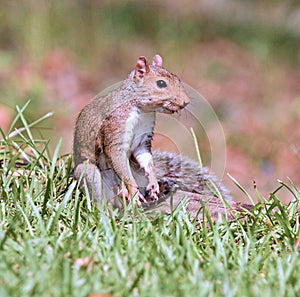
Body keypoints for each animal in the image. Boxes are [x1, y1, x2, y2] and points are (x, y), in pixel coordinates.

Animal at [73, 54, 230, 207]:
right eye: (161, 83)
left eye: (178, 79)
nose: (186, 102)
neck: (142, 111)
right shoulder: (114, 128)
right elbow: (116, 157)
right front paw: (133, 191)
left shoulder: (143, 139)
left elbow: (146, 160)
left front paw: (154, 183)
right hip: (89, 174)